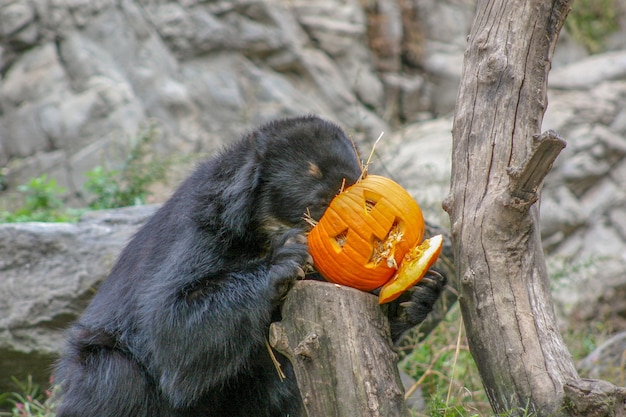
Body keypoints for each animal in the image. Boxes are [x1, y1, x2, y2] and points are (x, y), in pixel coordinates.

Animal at [53, 114, 444, 416]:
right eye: (320, 197)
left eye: (360, 181)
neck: (261, 231)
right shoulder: (204, 231)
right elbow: (171, 322)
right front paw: (286, 258)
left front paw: (418, 294)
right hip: (99, 365)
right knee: (117, 380)